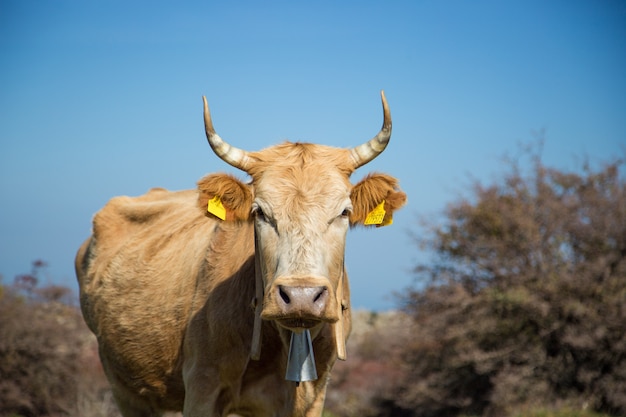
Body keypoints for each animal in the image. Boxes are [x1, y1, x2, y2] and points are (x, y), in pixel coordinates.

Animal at [74, 92, 404, 416]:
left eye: (344, 212)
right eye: (259, 212)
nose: (301, 296)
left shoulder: (315, 394)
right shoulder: (202, 386)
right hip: (124, 388)